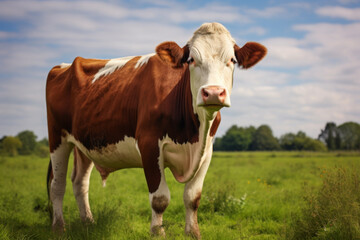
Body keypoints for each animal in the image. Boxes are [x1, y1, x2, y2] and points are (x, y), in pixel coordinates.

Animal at [45, 23, 268, 238]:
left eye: (232, 60)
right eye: (191, 60)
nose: (213, 93)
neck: (193, 132)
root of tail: (64, 65)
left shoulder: (207, 150)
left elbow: (192, 197)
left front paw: (193, 232)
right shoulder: (149, 144)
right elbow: (160, 199)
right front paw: (157, 232)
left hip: (84, 144)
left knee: (80, 183)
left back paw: (88, 223)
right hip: (57, 137)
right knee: (57, 185)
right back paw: (58, 228)